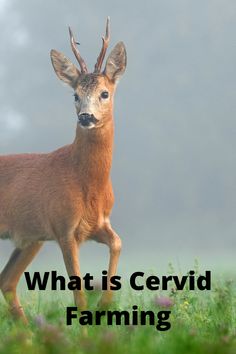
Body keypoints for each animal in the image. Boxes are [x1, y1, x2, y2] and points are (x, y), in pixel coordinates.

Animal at [0, 18, 127, 324]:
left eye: (104, 93)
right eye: (75, 95)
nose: (86, 117)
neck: (87, 184)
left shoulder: (97, 224)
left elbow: (118, 243)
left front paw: (104, 305)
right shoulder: (64, 228)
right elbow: (78, 293)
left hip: (30, 239)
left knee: (6, 281)